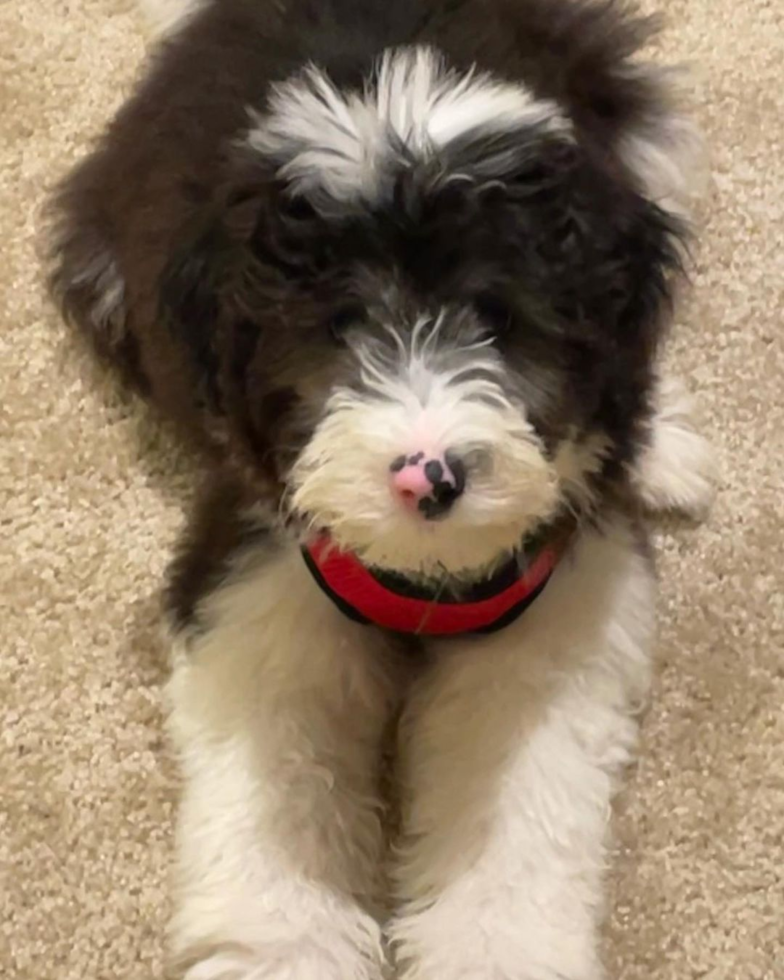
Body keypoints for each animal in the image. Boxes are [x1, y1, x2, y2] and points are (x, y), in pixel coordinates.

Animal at [46, 0, 712, 976]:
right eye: (338, 325)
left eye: (499, 317)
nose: (426, 476)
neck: (424, 575)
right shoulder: (259, 586)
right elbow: (276, 803)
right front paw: (285, 950)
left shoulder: (553, 616)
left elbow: (515, 817)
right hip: (103, 272)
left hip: (632, 122)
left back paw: (664, 451)